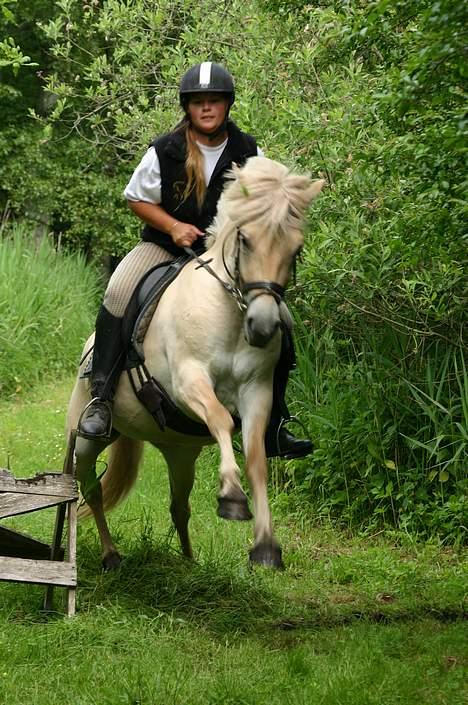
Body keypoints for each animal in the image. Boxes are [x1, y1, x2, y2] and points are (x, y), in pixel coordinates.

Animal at [67, 157, 324, 568]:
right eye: (245, 239)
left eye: (296, 247)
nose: (263, 326)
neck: (229, 315)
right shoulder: (189, 381)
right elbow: (220, 418)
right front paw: (233, 499)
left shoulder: (257, 392)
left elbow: (256, 459)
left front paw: (265, 546)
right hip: (87, 438)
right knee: (89, 486)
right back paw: (110, 555)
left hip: (180, 452)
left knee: (179, 505)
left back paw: (188, 562)